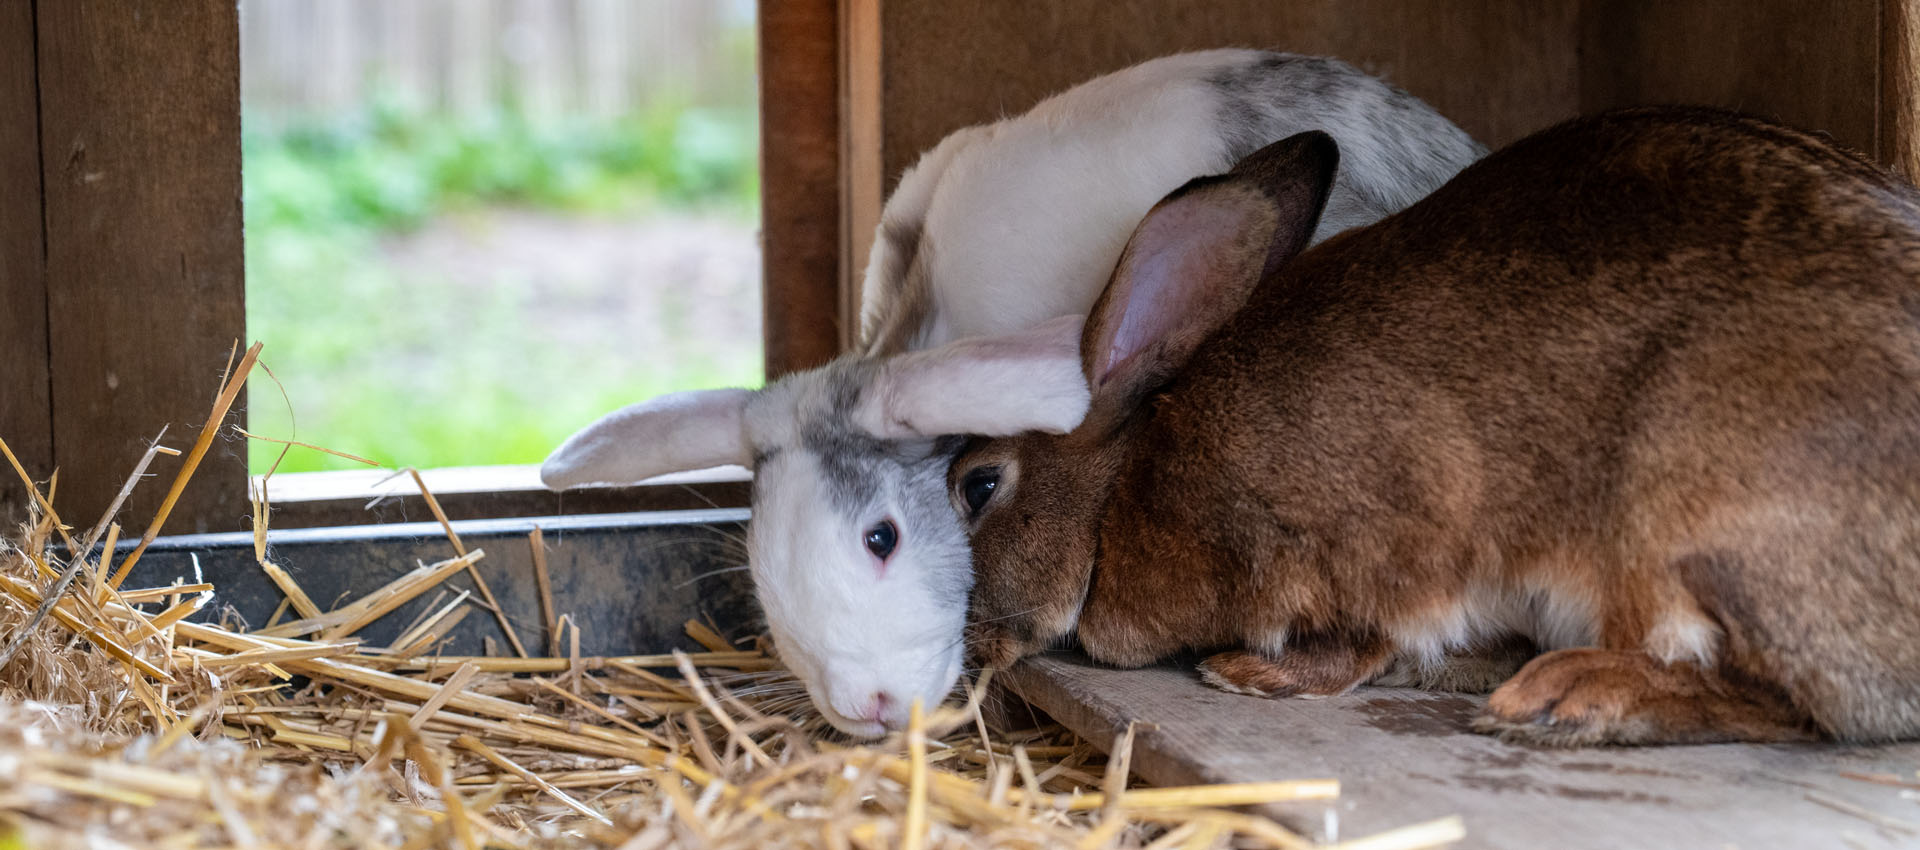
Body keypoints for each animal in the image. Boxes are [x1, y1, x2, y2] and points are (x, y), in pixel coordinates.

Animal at [942, 107, 1920, 746]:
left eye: (977, 484)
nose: (964, 651)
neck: (1120, 493)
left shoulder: (1373, 539)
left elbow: (1363, 636)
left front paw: (1254, 673)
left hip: (1687, 519)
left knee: (1795, 705)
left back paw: (1566, 698)